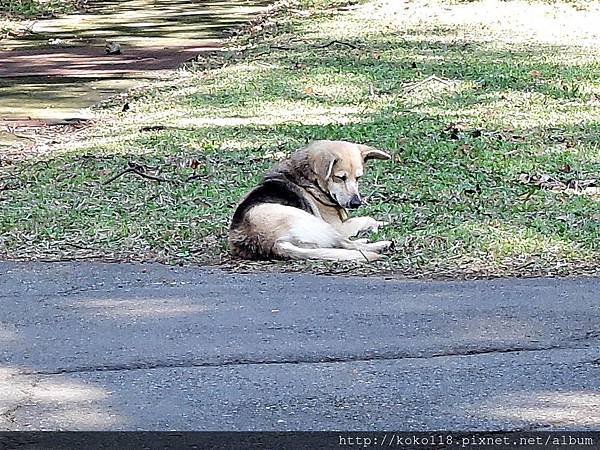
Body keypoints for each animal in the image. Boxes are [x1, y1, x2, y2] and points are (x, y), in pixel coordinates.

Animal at [230, 139, 394, 262]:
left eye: (358, 178)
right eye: (340, 178)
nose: (356, 203)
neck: (310, 181)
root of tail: (273, 243)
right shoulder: (340, 226)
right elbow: (366, 219)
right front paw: (377, 224)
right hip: (321, 225)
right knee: (346, 243)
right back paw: (382, 244)